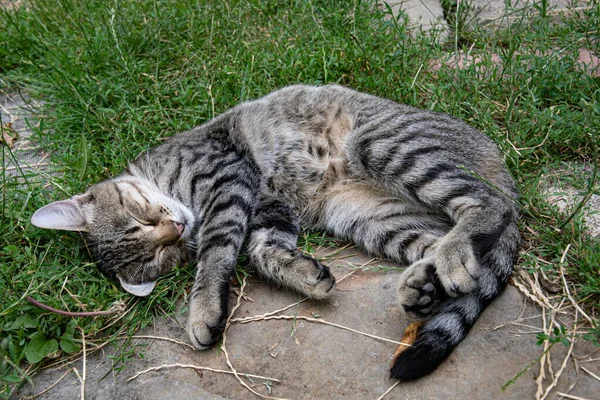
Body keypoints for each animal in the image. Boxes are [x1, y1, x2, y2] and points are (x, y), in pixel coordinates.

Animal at [30, 83, 516, 378]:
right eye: (159, 256)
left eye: (140, 219)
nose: (174, 229)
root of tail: (500, 164)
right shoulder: (267, 210)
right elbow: (264, 251)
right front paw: (304, 275)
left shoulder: (227, 182)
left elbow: (216, 254)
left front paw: (203, 309)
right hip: (375, 219)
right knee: (470, 256)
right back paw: (424, 285)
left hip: (384, 146)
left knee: (487, 206)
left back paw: (452, 257)